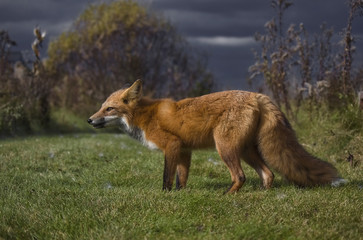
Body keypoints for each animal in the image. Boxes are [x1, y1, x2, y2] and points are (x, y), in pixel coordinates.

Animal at [89, 79, 346, 193]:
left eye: (109, 109)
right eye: (100, 107)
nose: (90, 120)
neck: (145, 116)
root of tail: (257, 95)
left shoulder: (171, 145)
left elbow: (166, 177)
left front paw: (166, 196)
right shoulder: (184, 150)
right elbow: (182, 178)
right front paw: (181, 195)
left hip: (225, 147)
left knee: (240, 176)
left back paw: (227, 196)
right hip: (246, 150)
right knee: (268, 174)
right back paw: (262, 194)